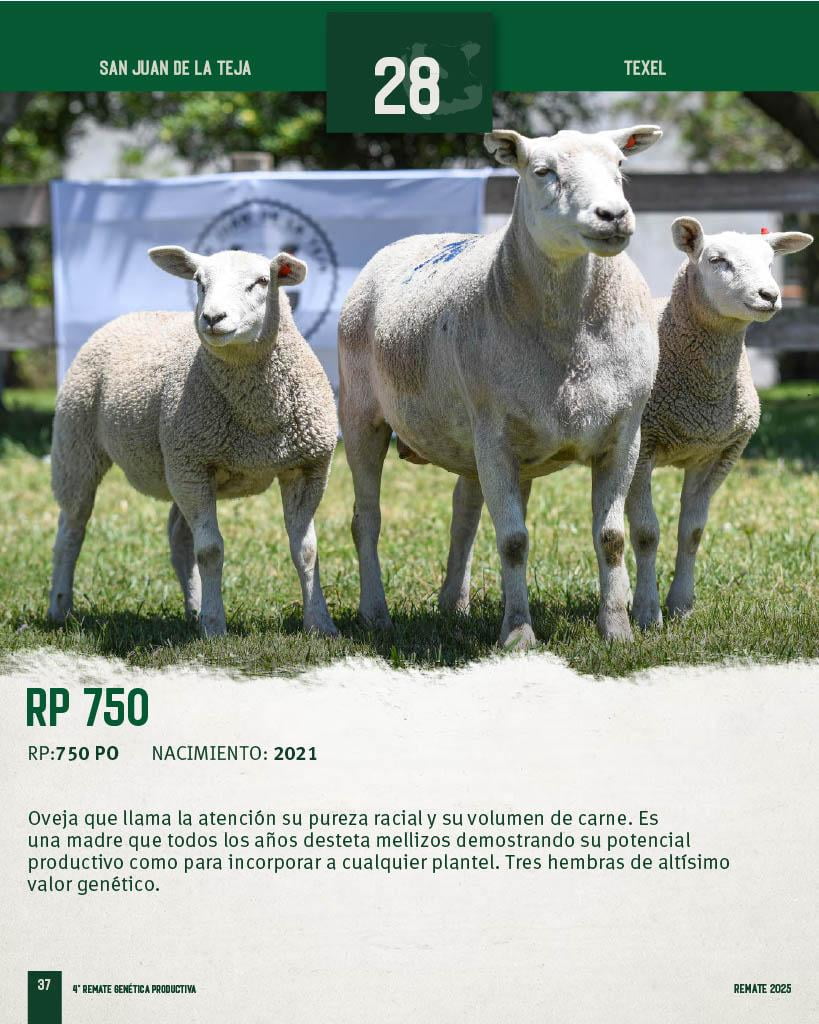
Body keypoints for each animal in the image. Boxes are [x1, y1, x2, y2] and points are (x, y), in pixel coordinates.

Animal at [48, 246, 339, 638]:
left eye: (262, 281)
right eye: (199, 282)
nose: (212, 318)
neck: (258, 418)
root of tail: (131, 314)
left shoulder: (307, 466)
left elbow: (306, 550)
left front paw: (320, 624)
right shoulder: (193, 465)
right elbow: (211, 551)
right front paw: (215, 627)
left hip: (176, 466)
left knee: (178, 537)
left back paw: (194, 607)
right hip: (78, 445)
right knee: (71, 530)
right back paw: (59, 607)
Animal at [338, 125, 663, 648]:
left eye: (619, 166)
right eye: (542, 171)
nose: (613, 215)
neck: (568, 338)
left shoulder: (623, 434)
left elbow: (610, 538)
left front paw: (617, 630)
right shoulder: (494, 435)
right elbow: (513, 541)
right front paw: (519, 635)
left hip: (487, 441)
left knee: (464, 512)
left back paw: (454, 604)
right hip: (362, 414)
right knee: (366, 520)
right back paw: (376, 614)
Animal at [626, 218, 813, 628]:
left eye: (770, 261)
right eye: (717, 260)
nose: (770, 295)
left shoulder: (717, 452)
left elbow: (692, 531)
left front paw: (681, 606)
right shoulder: (643, 446)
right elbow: (646, 532)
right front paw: (647, 614)